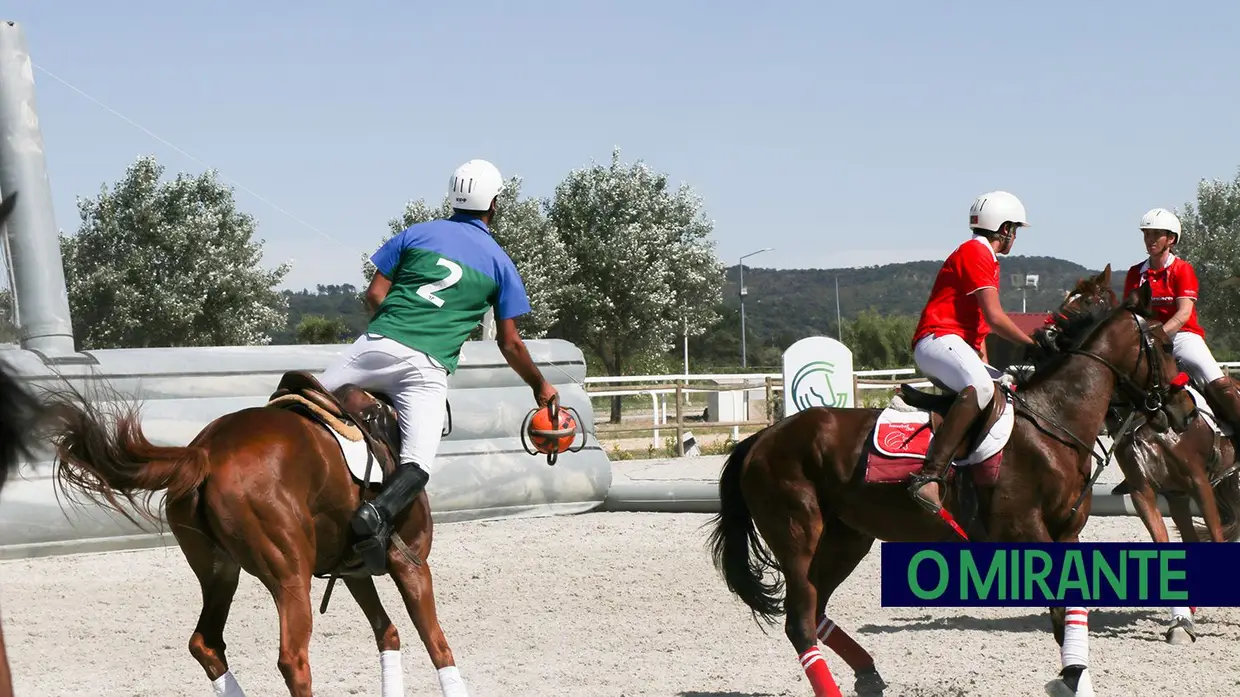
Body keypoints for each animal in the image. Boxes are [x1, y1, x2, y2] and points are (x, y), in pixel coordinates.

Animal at [39, 367, 466, 689]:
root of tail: (205, 451)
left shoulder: (352, 572)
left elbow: (387, 632)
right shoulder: (410, 564)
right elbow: (438, 645)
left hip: (220, 573)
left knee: (206, 644)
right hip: (290, 576)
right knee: (293, 660)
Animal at [714, 280, 1195, 694]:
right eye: (1164, 345)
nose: (1184, 411)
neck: (1053, 422)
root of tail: (763, 438)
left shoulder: (1067, 532)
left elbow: (1072, 612)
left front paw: (1075, 677)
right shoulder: (1025, 531)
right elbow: (1060, 607)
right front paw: (1072, 678)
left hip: (847, 539)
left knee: (815, 611)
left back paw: (868, 674)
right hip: (797, 535)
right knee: (799, 621)